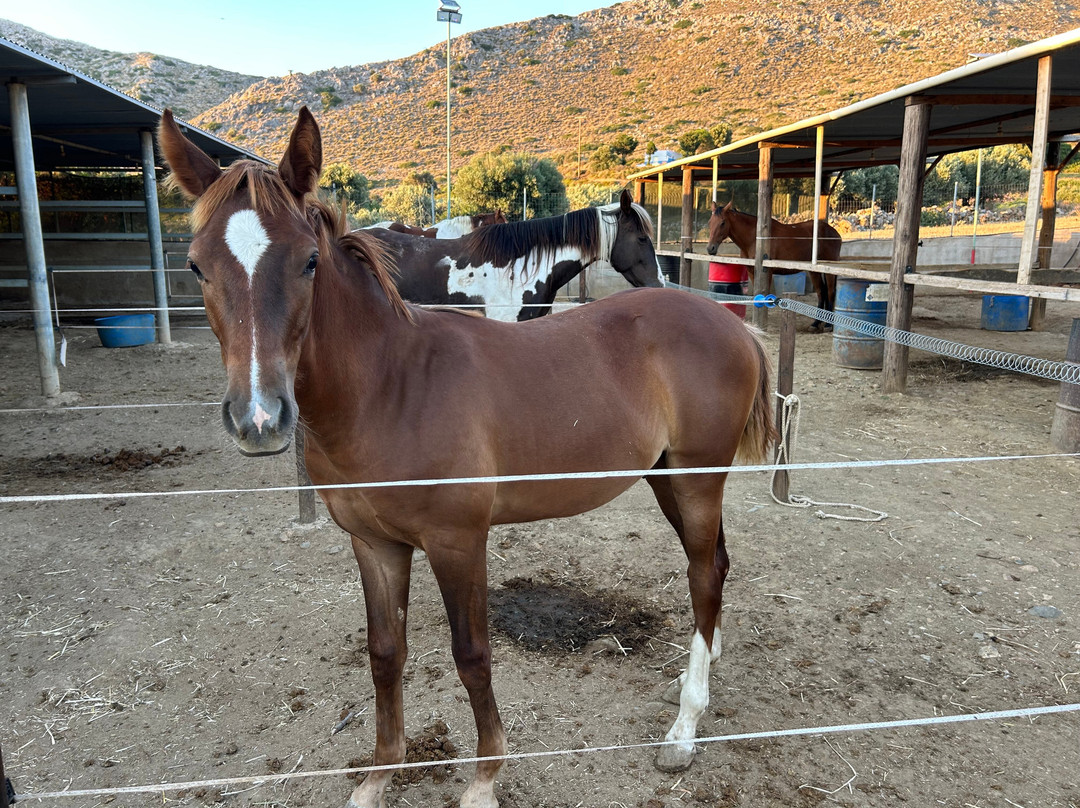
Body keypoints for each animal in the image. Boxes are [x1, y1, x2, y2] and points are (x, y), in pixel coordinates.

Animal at [706, 200, 842, 331]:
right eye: (710, 222)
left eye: (722, 222)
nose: (710, 248)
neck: (754, 238)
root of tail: (834, 232)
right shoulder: (751, 272)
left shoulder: (767, 272)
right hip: (814, 271)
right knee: (821, 292)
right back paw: (815, 323)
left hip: (829, 270)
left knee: (830, 292)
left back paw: (828, 325)